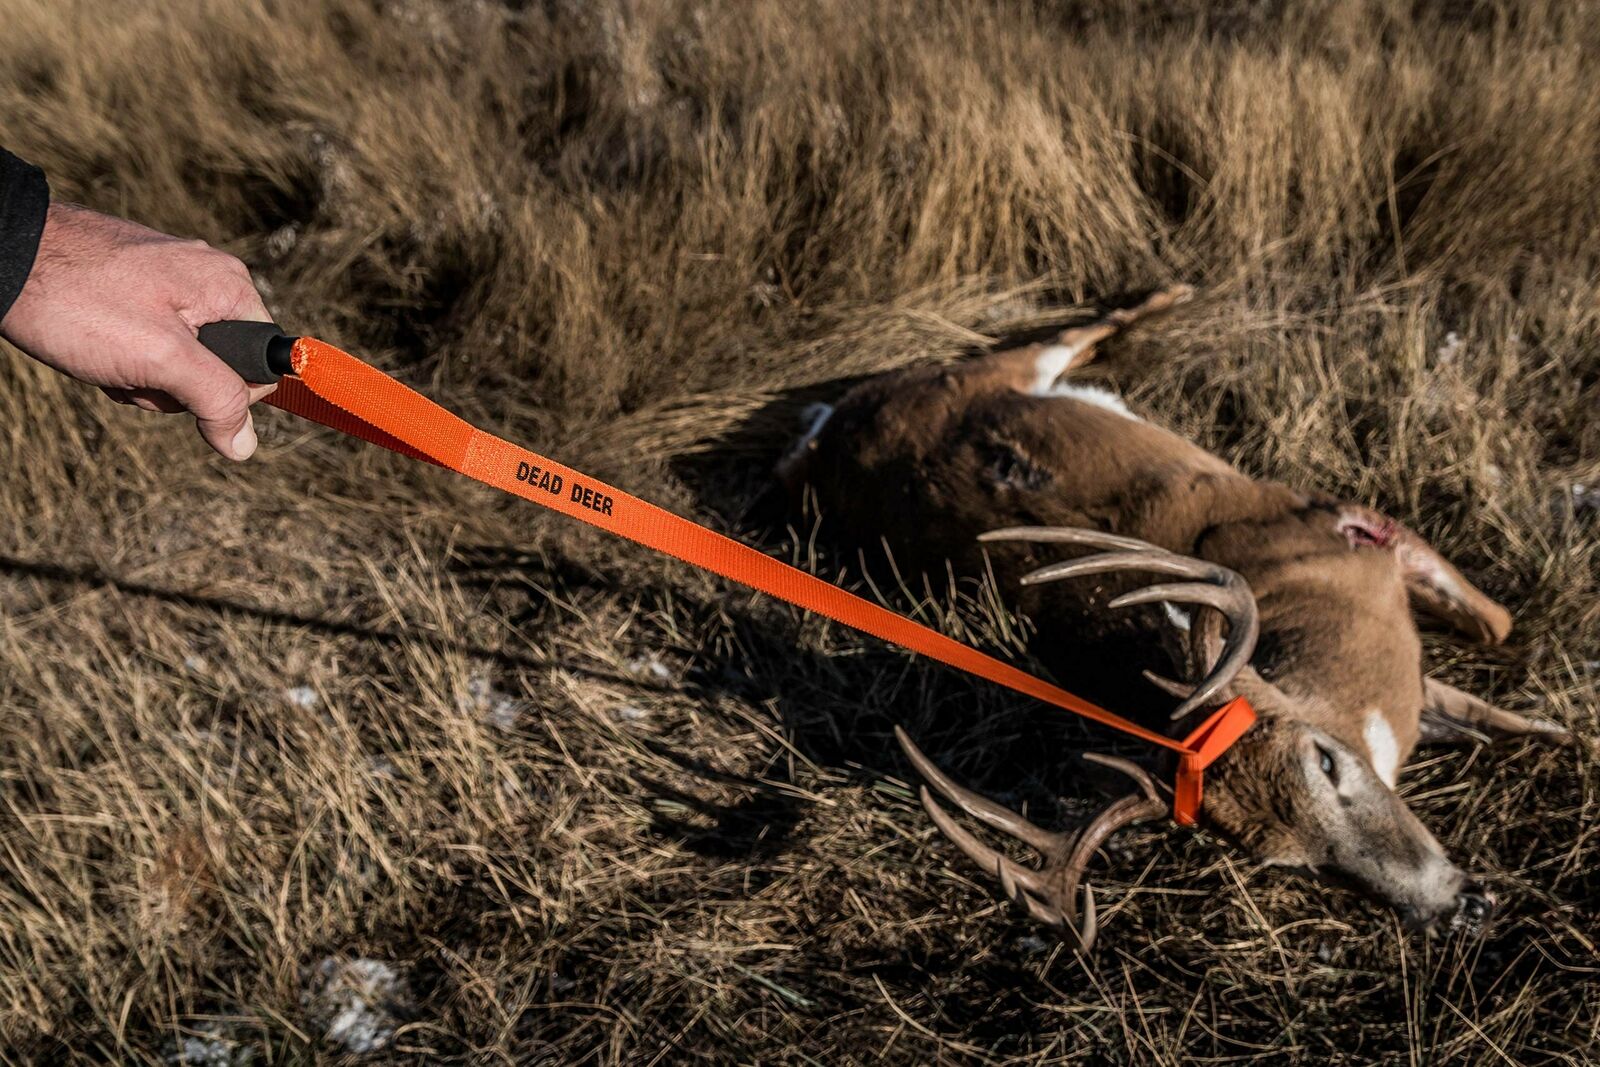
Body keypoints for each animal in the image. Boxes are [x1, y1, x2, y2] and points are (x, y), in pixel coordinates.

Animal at [778, 285, 1573, 950]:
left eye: (1325, 757)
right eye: (1296, 864)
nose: (1462, 908)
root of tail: (824, 437)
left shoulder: (1341, 520)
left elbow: (1496, 631)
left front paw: (1552, 729)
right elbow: (1492, 668)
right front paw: (1542, 732)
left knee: (1075, 330)